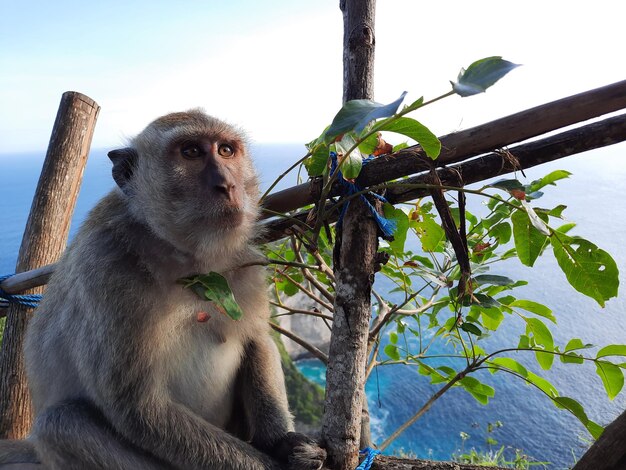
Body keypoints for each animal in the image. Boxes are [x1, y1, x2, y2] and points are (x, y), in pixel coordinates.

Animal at [1, 108, 326, 468]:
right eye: (191, 152)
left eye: (226, 150)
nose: (227, 185)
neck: (184, 258)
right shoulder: (104, 270)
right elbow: (140, 408)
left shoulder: (245, 263)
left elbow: (257, 340)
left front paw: (282, 445)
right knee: (61, 422)